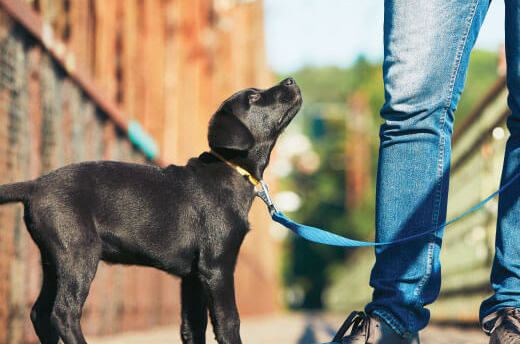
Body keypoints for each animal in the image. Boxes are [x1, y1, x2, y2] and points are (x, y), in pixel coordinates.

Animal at [0, 78, 300, 344]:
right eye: (253, 97)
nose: (290, 80)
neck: (231, 168)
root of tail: (35, 185)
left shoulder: (192, 277)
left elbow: (193, 328)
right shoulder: (217, 267)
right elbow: (228, 322)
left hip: (53, 260)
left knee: (40, 313)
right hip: (78, 253)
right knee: (63, 313)